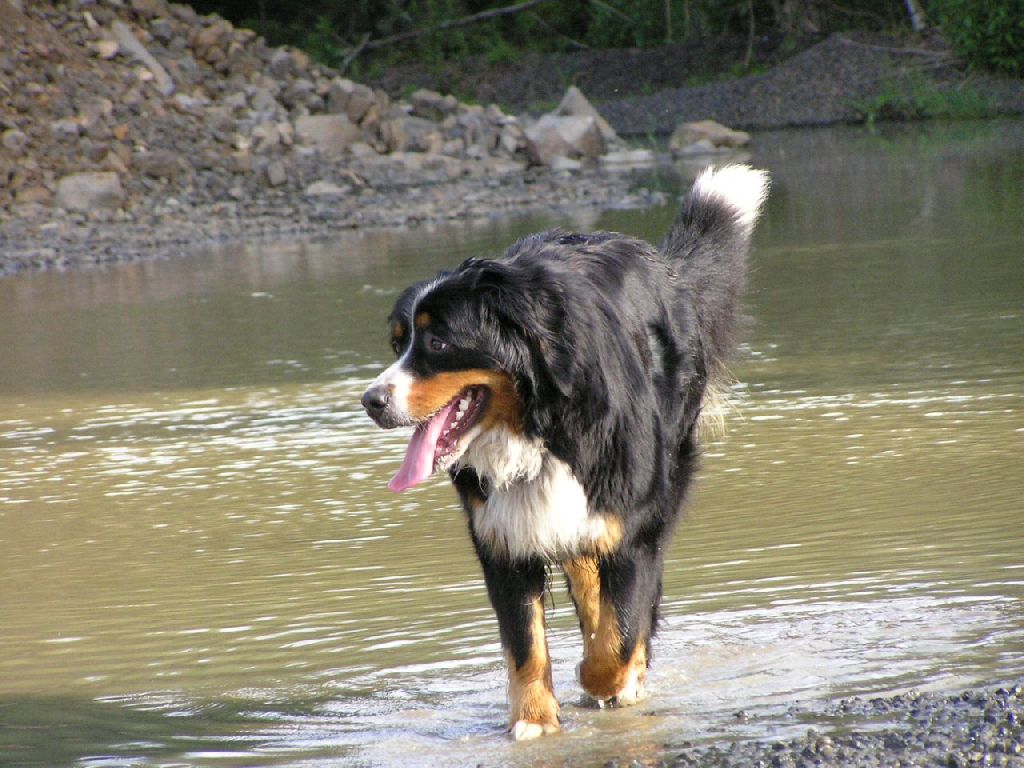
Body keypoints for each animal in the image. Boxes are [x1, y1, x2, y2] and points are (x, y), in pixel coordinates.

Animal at [361, 165, 769, 740]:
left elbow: (617, 638)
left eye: (437, 343)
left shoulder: (632, 527)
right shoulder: (503, 537)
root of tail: (662, 266)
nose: (371, 401)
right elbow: (525, 643)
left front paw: (609, 681)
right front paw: (533, 721)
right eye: (399, 344)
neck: (541, 424)